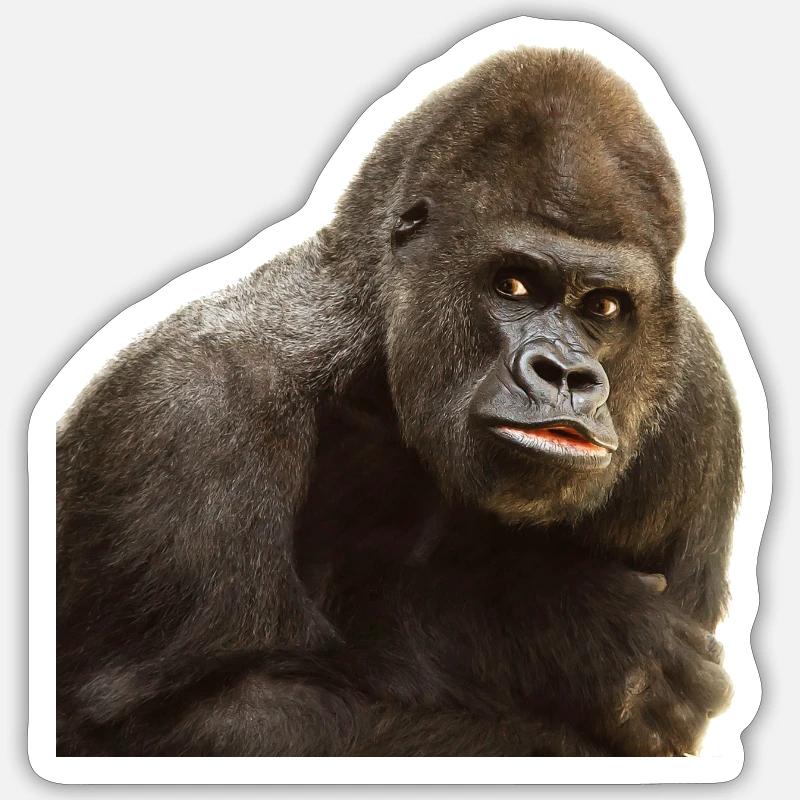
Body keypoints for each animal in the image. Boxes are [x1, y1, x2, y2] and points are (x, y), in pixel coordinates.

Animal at [56, 47, 740, 756]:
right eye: (513, 285)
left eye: (603, 307)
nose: (565, 374)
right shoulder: (190, 409)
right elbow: (181, 719)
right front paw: (561, 630)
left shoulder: (698, 408)